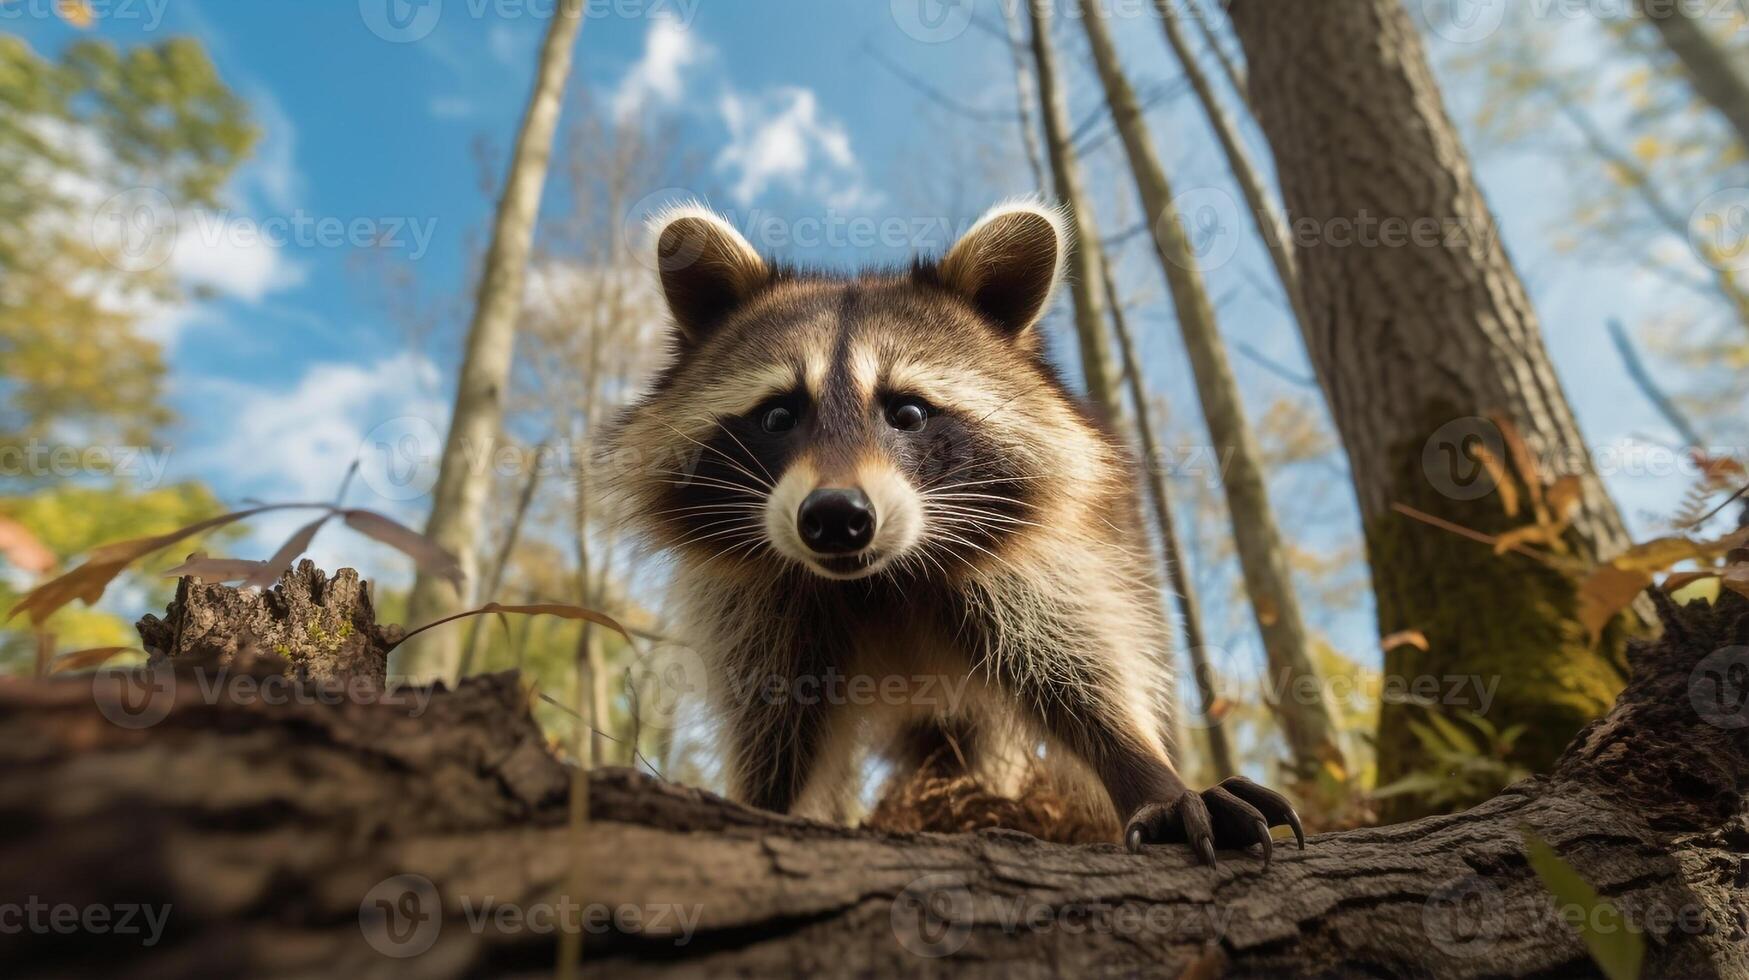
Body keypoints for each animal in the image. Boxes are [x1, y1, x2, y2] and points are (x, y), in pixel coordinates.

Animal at [601, 199, 1301, 864]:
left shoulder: (1035, 564)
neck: (879, 580)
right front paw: (764, 803)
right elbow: (774, 722)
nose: (836, 518)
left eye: (908, 412)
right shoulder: (760, 603)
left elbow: (1079, 668)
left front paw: (1150, 774)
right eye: (778, 415)